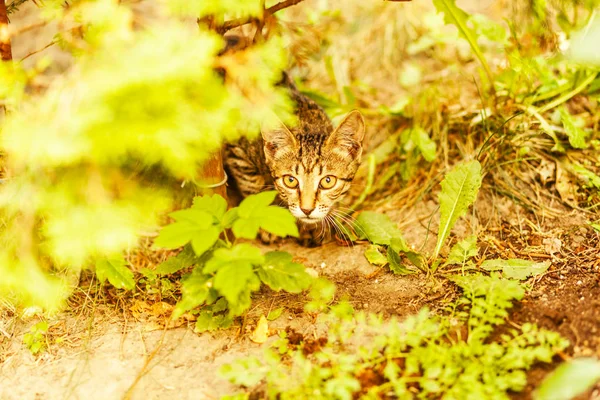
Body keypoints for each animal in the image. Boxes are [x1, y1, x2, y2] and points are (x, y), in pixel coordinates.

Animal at [225, 73, 366, 245]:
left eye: (328, 181)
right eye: (290, 181)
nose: (307, 209)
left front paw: (318, 224)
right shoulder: (236, 150)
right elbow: (253, 186)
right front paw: (265, 219)